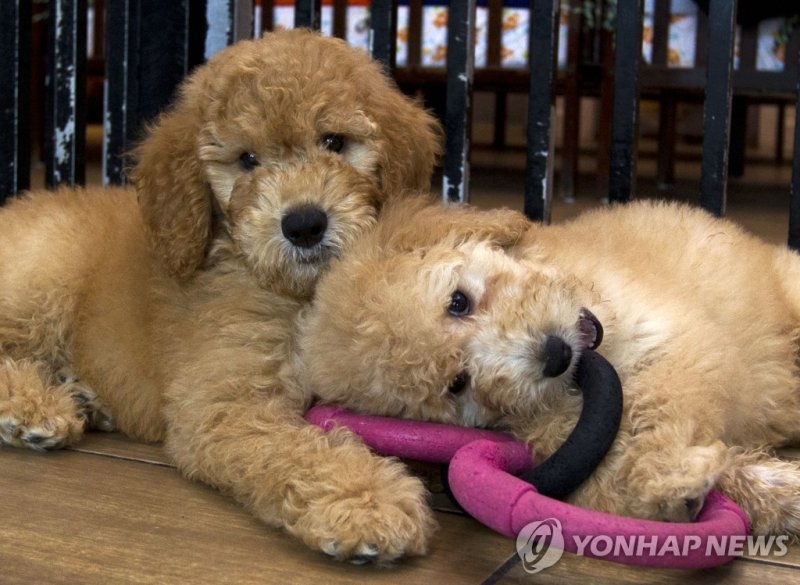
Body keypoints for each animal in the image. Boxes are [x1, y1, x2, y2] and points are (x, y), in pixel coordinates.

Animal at [0, 30, 440, 560]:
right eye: (247, 160)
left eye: (334, 142)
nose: (304, 224)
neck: (298, 293)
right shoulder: (225, 401)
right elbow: (294, 449)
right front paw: (365, 501)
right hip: (44, 277)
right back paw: (35, 406)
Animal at [296, 198, 800, 536]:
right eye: (457, 384)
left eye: (458, 303)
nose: (555, 355)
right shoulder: (560, 438)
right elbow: (614, 470)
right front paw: (686, 487)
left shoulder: (680, 340)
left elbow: (664, 396)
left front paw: (667, 470)